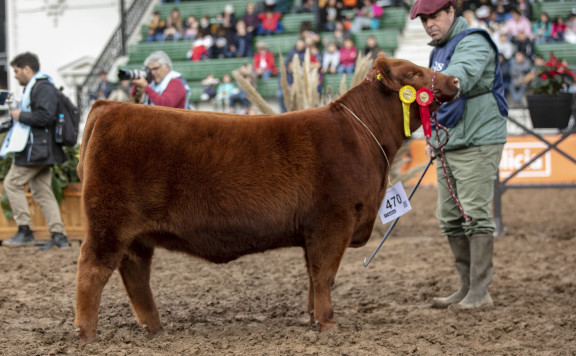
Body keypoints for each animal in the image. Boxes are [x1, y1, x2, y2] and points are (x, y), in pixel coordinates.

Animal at [74, 55, 460, 344]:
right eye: (412, 73)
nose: (455, 81)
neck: (362, 137)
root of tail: (109, 106)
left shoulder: (313, 231)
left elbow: (312, 276)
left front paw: (313, 319)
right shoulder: (335, 219)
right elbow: (325, 275)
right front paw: (329, 324)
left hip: (136, 236)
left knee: (136, 276)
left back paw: (155, 329)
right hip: (109, 222)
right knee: (92, 270)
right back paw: (87, 334)